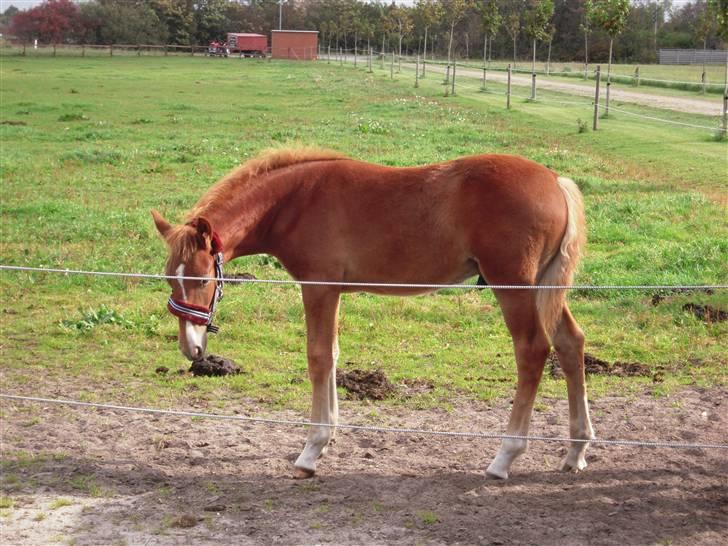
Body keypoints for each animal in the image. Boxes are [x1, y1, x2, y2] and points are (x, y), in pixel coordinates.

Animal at [152, 147, 592, 478]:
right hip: (545, 287)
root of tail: (556, 181)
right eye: (170, 278)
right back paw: (576, 451)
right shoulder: (332, 290)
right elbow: (332, 355)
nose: (190, 347)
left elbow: (317, 357)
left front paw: (310, 452)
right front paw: (327, 440)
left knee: (532, 350)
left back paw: (504, 458)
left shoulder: (319, 287)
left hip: (513, 285)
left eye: (203, 279)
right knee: (571, 343)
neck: (295, 201)